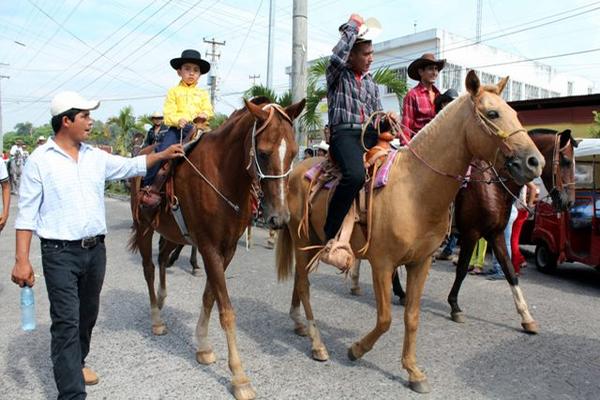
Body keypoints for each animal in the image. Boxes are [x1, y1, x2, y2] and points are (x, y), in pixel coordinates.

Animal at [127, 97, 304, 400]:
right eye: (264, 153)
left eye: (293, 153)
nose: (279, 219)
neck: (223, 176)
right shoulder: (209, 247)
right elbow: (226, 311)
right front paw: (240, 377)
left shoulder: (227, 249)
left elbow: (209, 297)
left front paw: (203, 345)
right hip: (144, 228)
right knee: (149, 268)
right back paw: (156, 318)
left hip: (173, 233)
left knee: (162, 259)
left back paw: (162, 298)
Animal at [276, 72, 544, 394]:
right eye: (492, 113)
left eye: (515, 113)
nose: (535, 162)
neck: (416, 188)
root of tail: (295, 170)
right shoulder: (383, 263)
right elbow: (385, 319)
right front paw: (356, 349)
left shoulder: (422, 261)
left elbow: (413, 317)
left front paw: (413, 371)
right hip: (304, 239)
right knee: (304, 285)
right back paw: (317, 344)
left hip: (312, 242)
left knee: (299, 282)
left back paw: (299, 323)